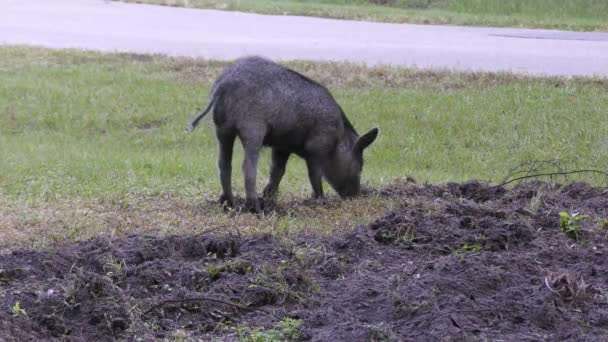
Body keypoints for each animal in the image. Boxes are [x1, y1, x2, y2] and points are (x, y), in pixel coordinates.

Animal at [188, 57, 378, 212]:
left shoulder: (281, 146)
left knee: (223, 163)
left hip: (222, 129)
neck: (338, 140)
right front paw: (321, 201)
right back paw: (255, 208)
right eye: (360, 165)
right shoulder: (316, 148)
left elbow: (278, 169)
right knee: (247, 166)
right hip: (253, 128)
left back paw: (229, 203)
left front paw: (269, 197)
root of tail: (222, 85)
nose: (355, 196)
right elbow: (314, 175)